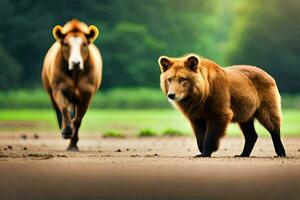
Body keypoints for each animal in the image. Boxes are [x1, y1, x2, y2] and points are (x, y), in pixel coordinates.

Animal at [157, 54, 286, 157]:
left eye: (183, 79)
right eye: (170, 79)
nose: (171, 95)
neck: (198, 96)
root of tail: (268, 74)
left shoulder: (218, 106)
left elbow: (212, 131)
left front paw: (207, 151)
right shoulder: (196, 113)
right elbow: (199, 135)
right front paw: (201, 151)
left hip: (263, 102)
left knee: (272, 122)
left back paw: (280, 152)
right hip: (245, 109)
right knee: (250, 133)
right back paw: (242, 154)